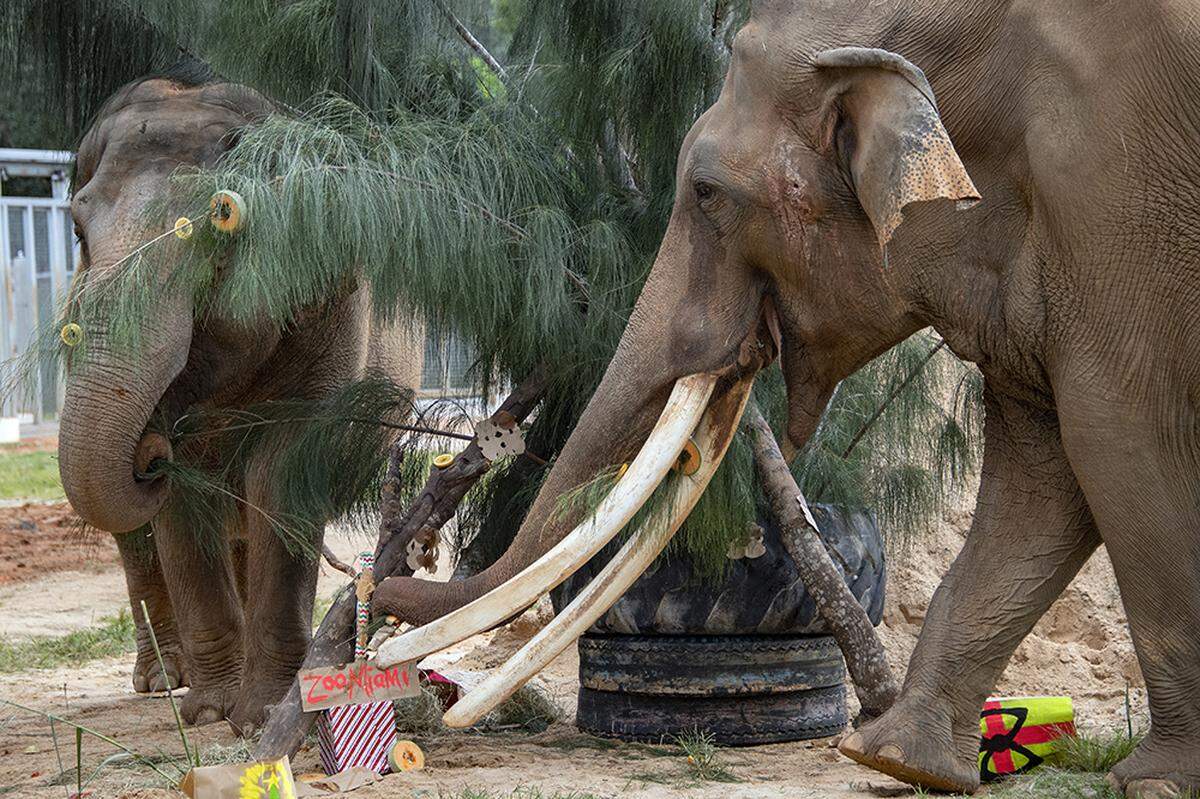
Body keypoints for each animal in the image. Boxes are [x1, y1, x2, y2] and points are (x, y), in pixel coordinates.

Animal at [60, 74, 421, 733]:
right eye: (77, 232)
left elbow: (282, 476)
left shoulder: (332, 316)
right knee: (136, 536)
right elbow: (180, 501)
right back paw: (162, 680)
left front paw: (260, 715)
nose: (149, 445)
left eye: (220, 229)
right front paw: (208, 712)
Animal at [372, 1, 1200, 796]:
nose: (383, 590)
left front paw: (1156, 780)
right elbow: (1042, 478)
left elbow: (1119, 445)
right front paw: (898, 760)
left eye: (706, 193)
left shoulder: (1112, 191)